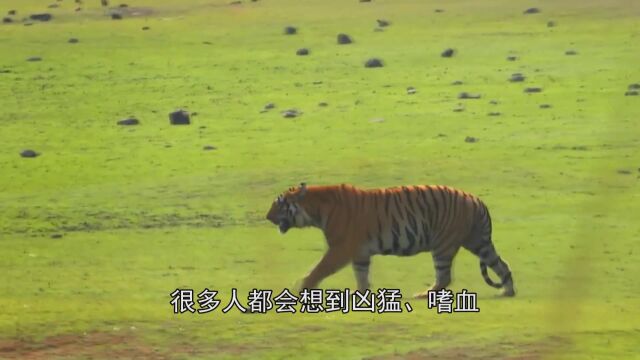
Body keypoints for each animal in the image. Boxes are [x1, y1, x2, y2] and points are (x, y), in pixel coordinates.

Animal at [264, 183, 516, 298]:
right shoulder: (359, 253)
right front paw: (362, 296)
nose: (267, 217)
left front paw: (300, 288)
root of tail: (476, 199)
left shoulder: (340, 249)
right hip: (478, 242)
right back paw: (507, 291)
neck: (316, 210)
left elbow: (317, 269)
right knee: (502, 266)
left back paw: (421, 295)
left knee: (444, 277)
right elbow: (361, 276)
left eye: (279, 203)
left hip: (443, 245)